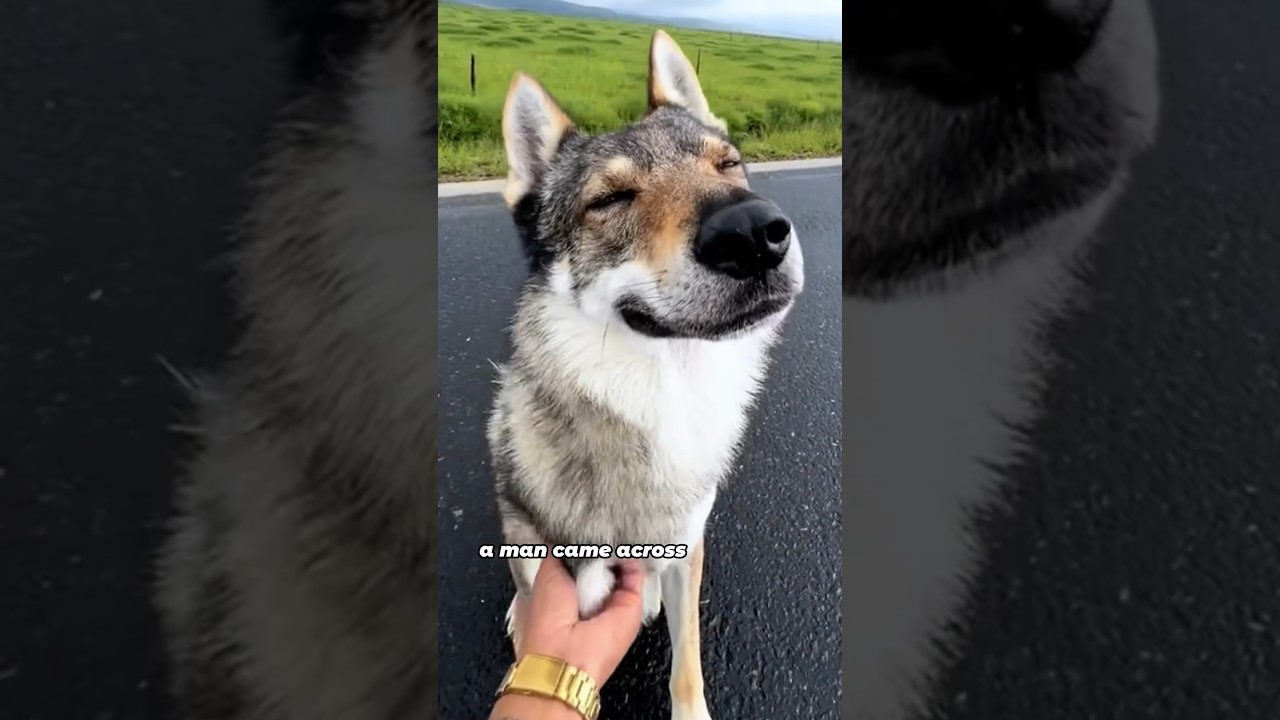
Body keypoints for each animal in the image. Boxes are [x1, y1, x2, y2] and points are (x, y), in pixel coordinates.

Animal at [486, 30, 805, 720]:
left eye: (727, 165)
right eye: (610, 200)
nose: (754, 233)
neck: (666, 392)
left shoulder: (688, 543)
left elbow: (686, 666)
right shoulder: (561, 567)